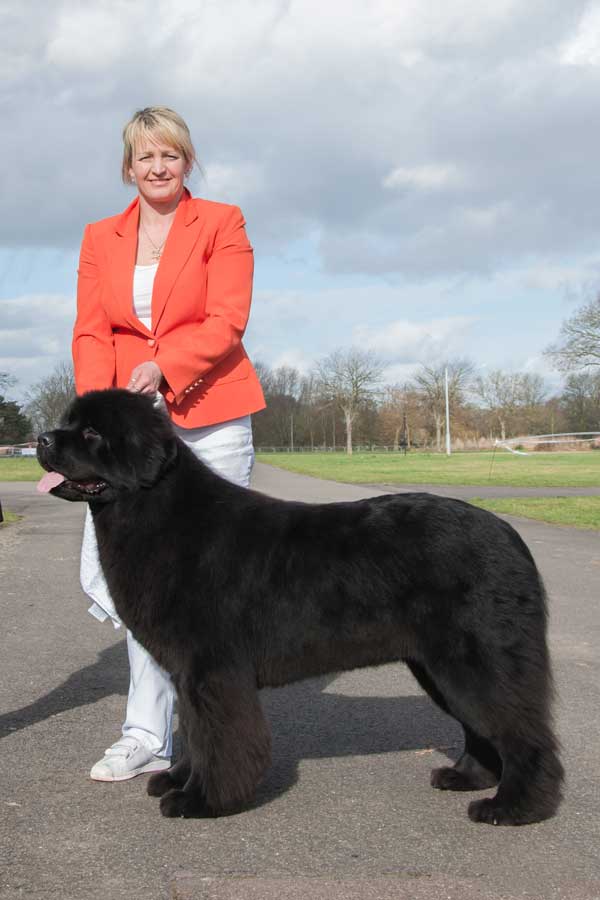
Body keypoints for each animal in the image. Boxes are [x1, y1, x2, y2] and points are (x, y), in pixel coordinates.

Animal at [36, 386, 564, 824]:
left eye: (92, 432)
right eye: (67, 422)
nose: (41, 439)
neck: (157, 512)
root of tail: (509, 535)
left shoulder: (212, 669)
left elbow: (218, 739)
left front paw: (202, 800)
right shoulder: (189, 673)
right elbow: (196, 733)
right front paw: (178, 779)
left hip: (476, 661)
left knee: (522, 733)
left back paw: (514, 807)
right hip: (439, 668)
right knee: (483, 728)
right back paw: (466, 777)